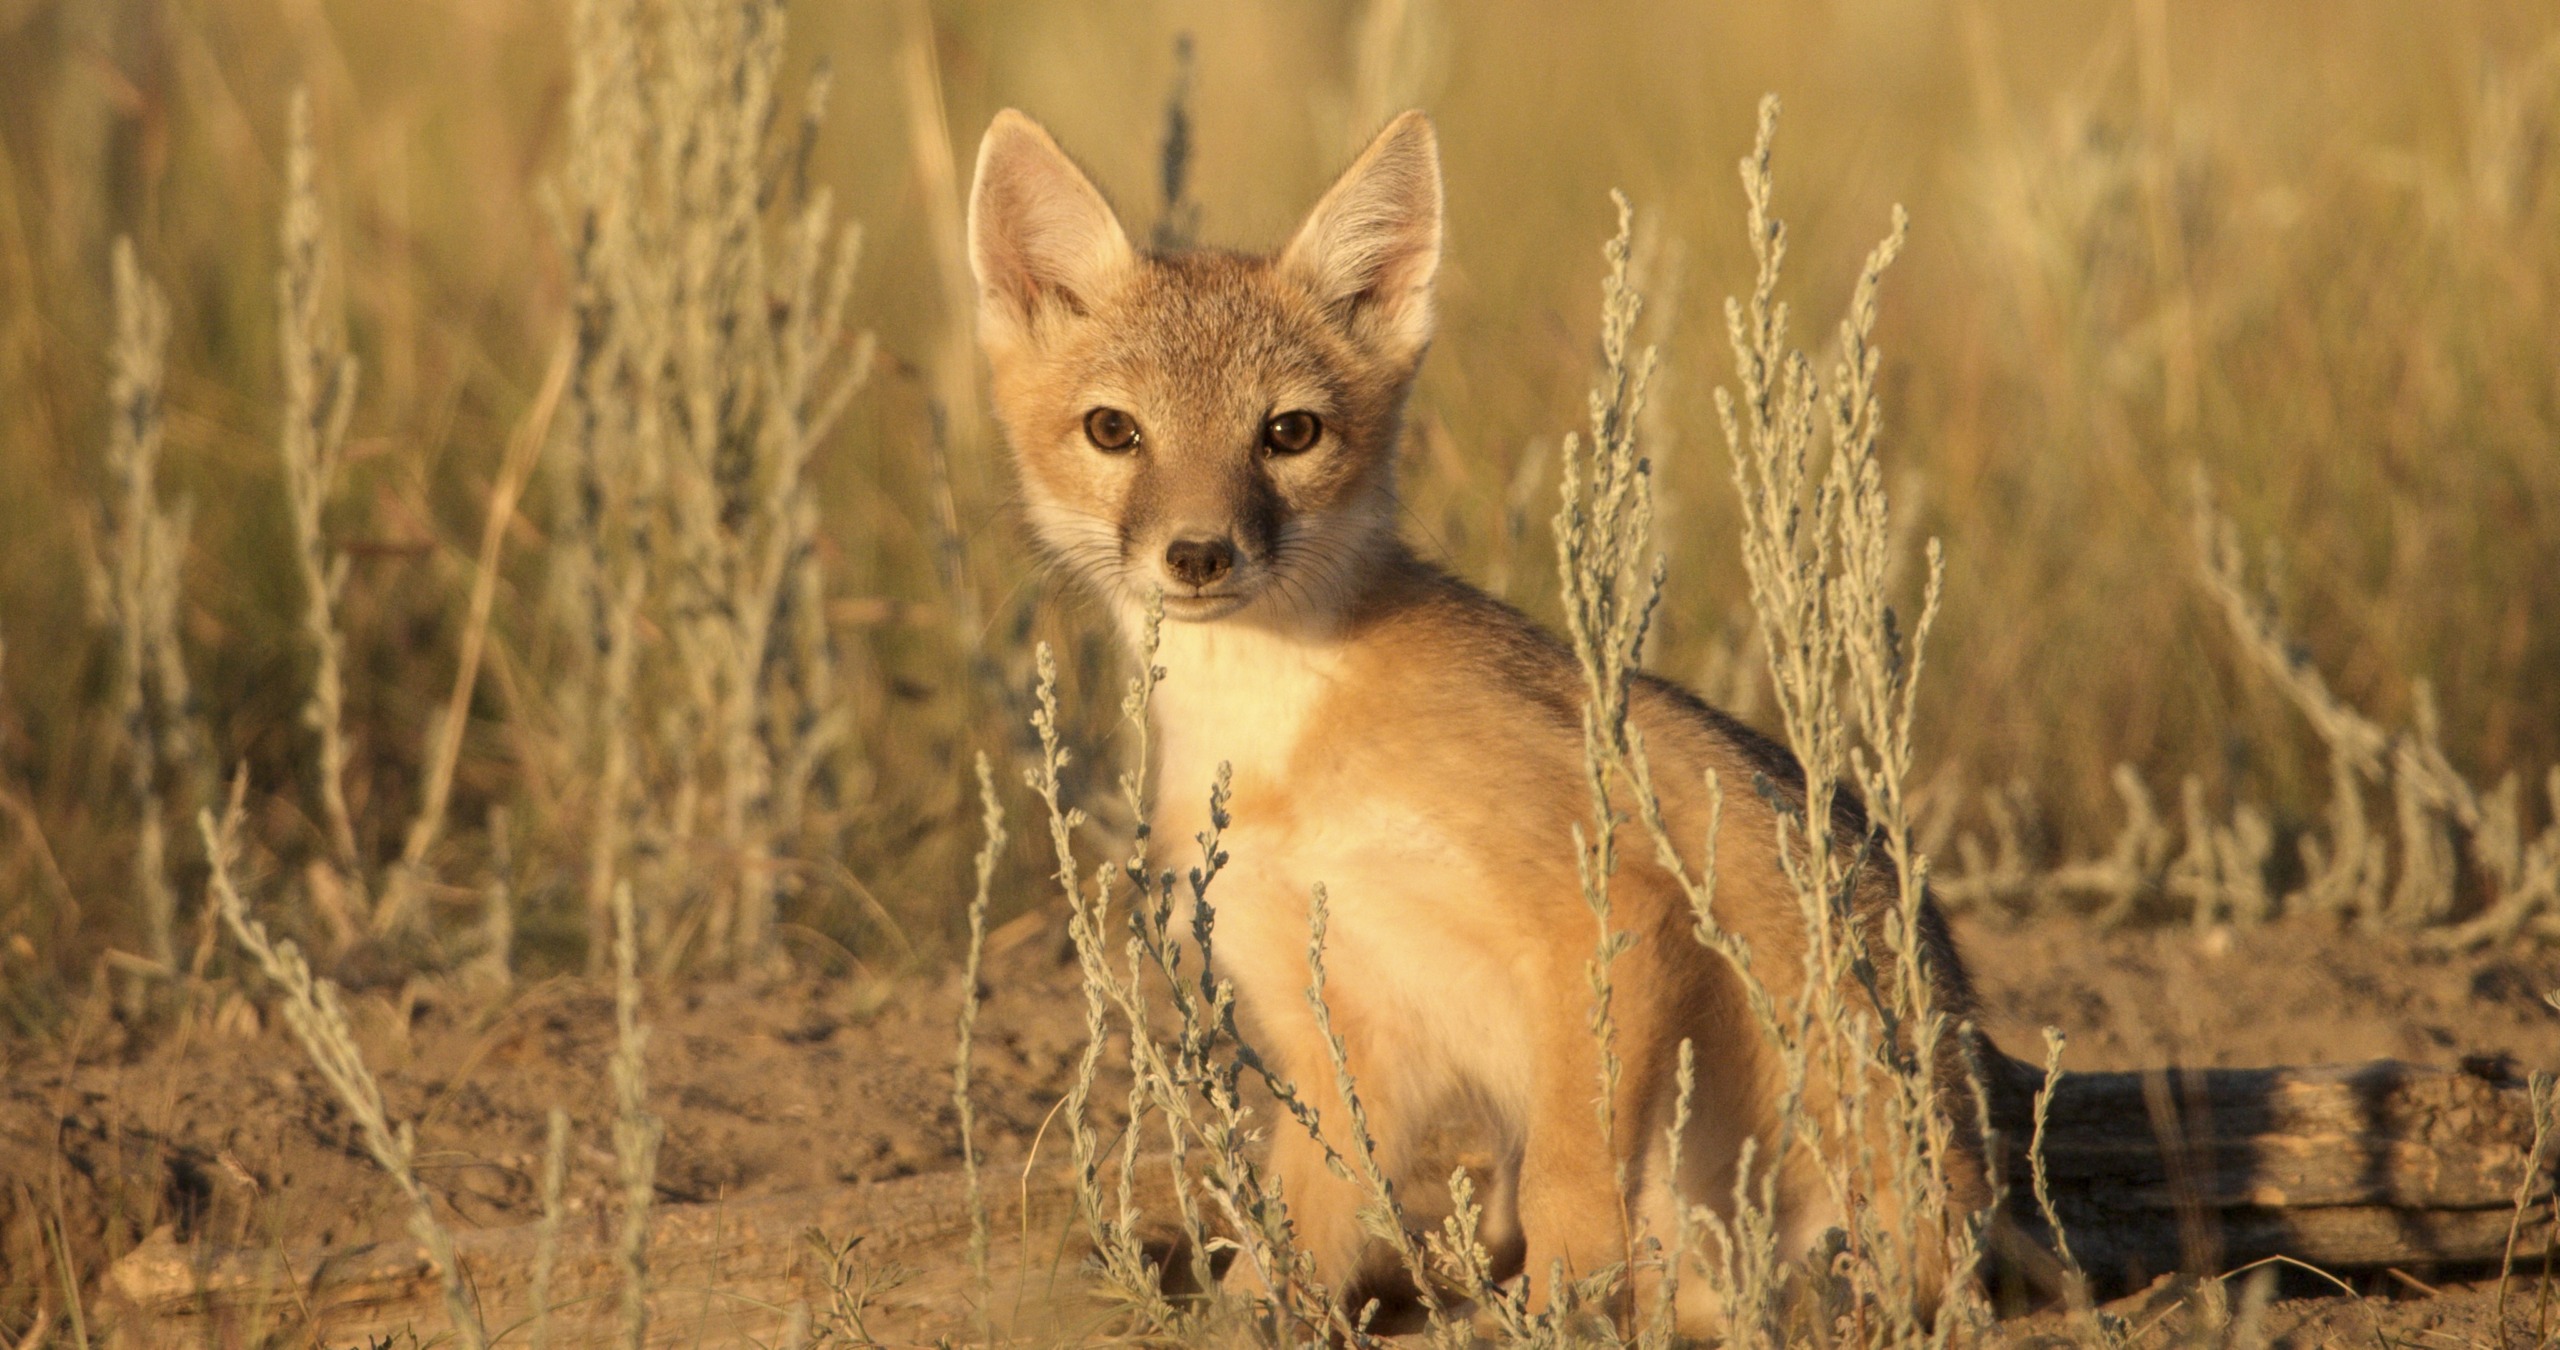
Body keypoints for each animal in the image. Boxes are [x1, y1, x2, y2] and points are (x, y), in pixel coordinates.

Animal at [967, 108, 1986, 1332]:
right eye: (1114, 430)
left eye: (1289, 433)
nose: (1201, 554)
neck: (1280, 735)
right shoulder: (1341, 1026)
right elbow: (1293, 1232)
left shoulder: (1611, 910)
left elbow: (1567, 1180)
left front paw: (1559, 1306)